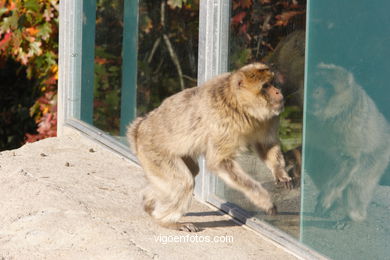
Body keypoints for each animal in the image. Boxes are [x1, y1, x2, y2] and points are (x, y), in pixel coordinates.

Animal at [128, 62, 292, 232]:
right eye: (265, 86)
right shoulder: (223, 122)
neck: (239, 104)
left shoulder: (267, 119)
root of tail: (140, 128)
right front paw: (263, 200)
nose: (278, 91)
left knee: (191, 171)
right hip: (153, 151)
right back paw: (165, 221)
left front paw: (280, 172)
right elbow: (218, 162)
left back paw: (148, 202)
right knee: (184, 182)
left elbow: (266, 145)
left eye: (273, 82)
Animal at [306, 63, 388, 221]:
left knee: (357, 185)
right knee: (317, 163)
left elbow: (350, 160)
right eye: (315, 82)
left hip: (378, 159)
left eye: (327, 86)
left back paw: (355, 216)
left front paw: (327, 195)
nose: (315, 91)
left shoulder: (351, 125)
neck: (331, 115)